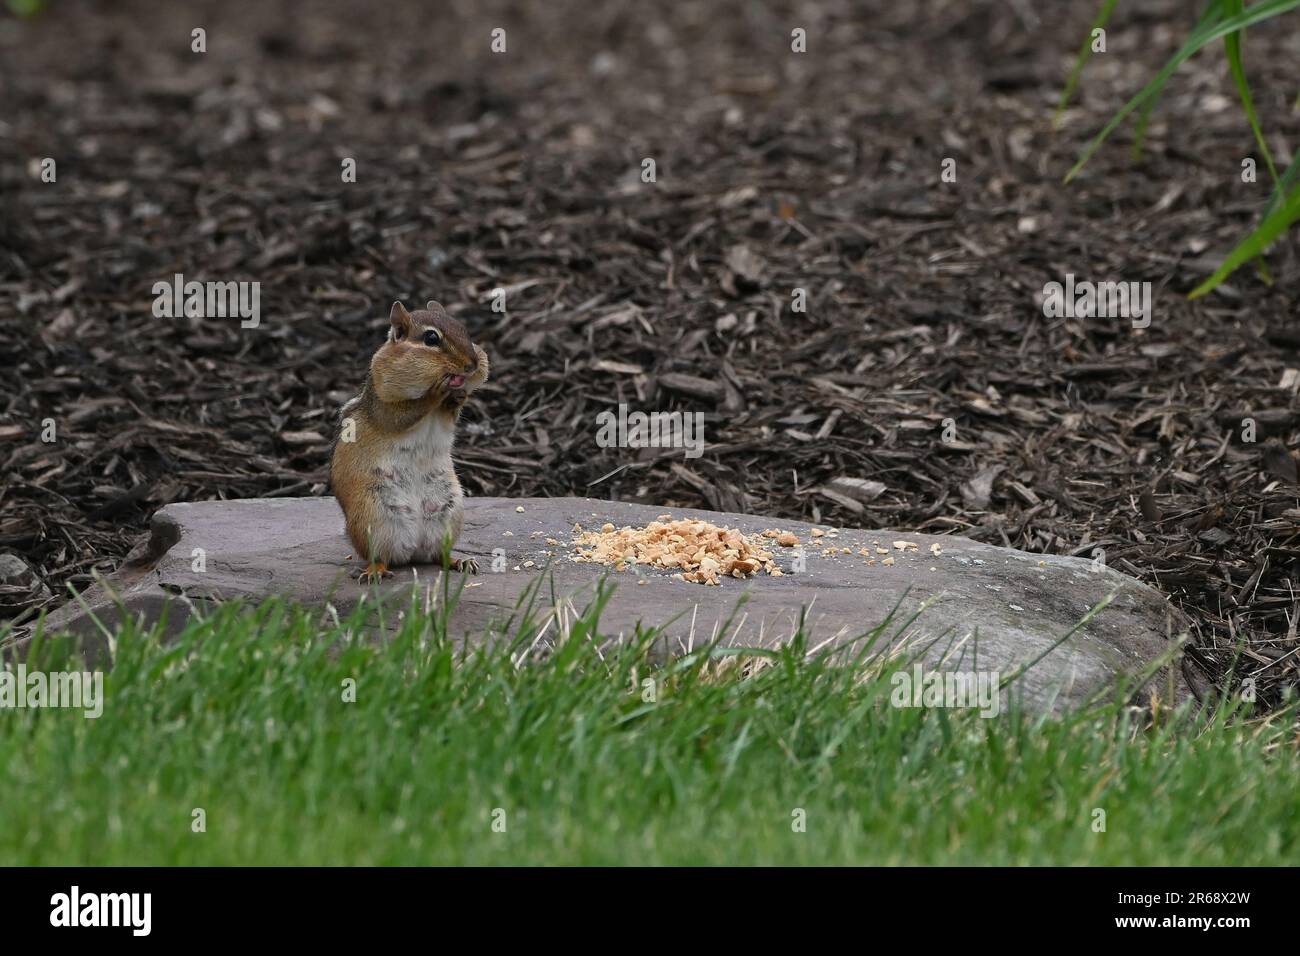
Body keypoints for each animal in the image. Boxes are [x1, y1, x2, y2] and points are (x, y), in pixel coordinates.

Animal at [330, 300, 490, 584]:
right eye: (431, 338)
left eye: (463, 329)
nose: (472, 364)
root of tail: (413, 550)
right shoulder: (385, 405)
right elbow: (405, 413)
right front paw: (437, 390)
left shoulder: (444, 417)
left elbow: (450, 413)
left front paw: (458, 396)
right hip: (373, 519)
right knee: (381, 557)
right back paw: (375, 571)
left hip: (450, 513)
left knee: (439, 556)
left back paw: (460, 561)